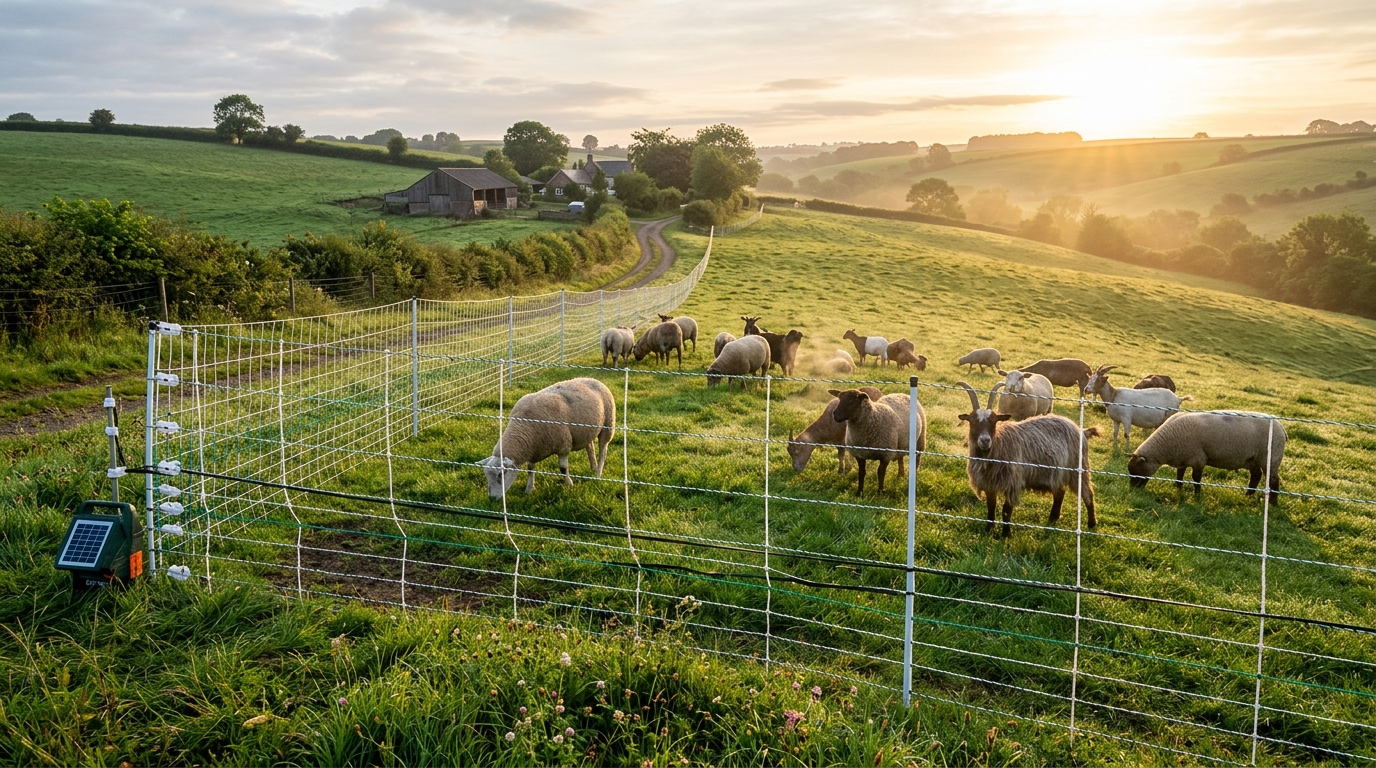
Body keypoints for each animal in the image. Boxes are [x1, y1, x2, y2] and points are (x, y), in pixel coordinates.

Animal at [477, 377, 615, 499]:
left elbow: (563, 468)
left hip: (608, 425)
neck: (525, 427)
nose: (492, 498)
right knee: (590, 447)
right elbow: (530, 469)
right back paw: (593, 467)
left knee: (603, 451)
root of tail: (593, 379)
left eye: (501, 475)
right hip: (587, 431)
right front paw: (529, 489)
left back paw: (598, 474)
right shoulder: (533, 449)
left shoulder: (564, 446)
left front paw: (569, 484)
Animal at [957, 381, 1099, 538]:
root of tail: (1082, 431)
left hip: (1078, 468)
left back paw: (1092, 523)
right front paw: (988, 530)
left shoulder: (1013, 482)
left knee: (1088, 493)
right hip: (1056, 473)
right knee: (1060, 492)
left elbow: (1006, 510)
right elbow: (991, 506)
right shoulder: (989, 484)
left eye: (994, 421)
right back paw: (1052, 519)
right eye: (972, 421)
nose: (985, 441)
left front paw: (1006, 535)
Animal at [1127, 411, 1286, 504]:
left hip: (1270, 458)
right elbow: (1180, 475)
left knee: (1273, 480)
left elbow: (1196, 479)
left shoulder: (1199, 459)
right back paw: (1248, 495)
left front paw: (1197, 496)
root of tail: (1280, 426)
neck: (1166, 445)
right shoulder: (1182, 459)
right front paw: (1178, 488)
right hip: (1252, 459)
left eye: (1137, 472)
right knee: (1256, 475)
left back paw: (1273, 503)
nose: (1133, 490)